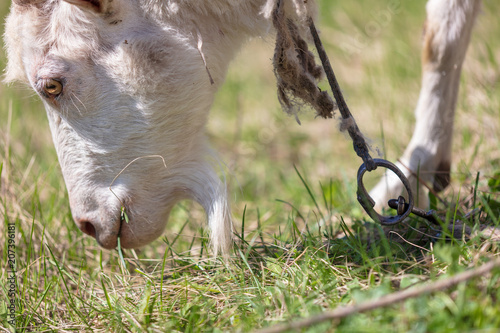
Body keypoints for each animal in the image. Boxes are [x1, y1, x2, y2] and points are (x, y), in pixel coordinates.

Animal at [2, 0, 480, 254]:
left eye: (51, 85)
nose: (87, 224)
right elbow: (442, 37)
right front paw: (416, 175)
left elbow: (440, 38)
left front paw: (410, 172)